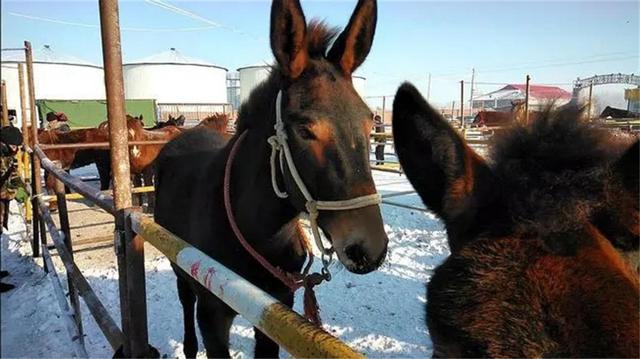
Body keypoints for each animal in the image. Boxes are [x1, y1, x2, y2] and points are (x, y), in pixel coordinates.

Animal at [154, 0, 388, 358]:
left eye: (368, 123)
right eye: (304, 130)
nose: (370, 249)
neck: (258, 230)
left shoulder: (275, 309)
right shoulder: (212, 315)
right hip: (177, 262)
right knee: (184, 298)